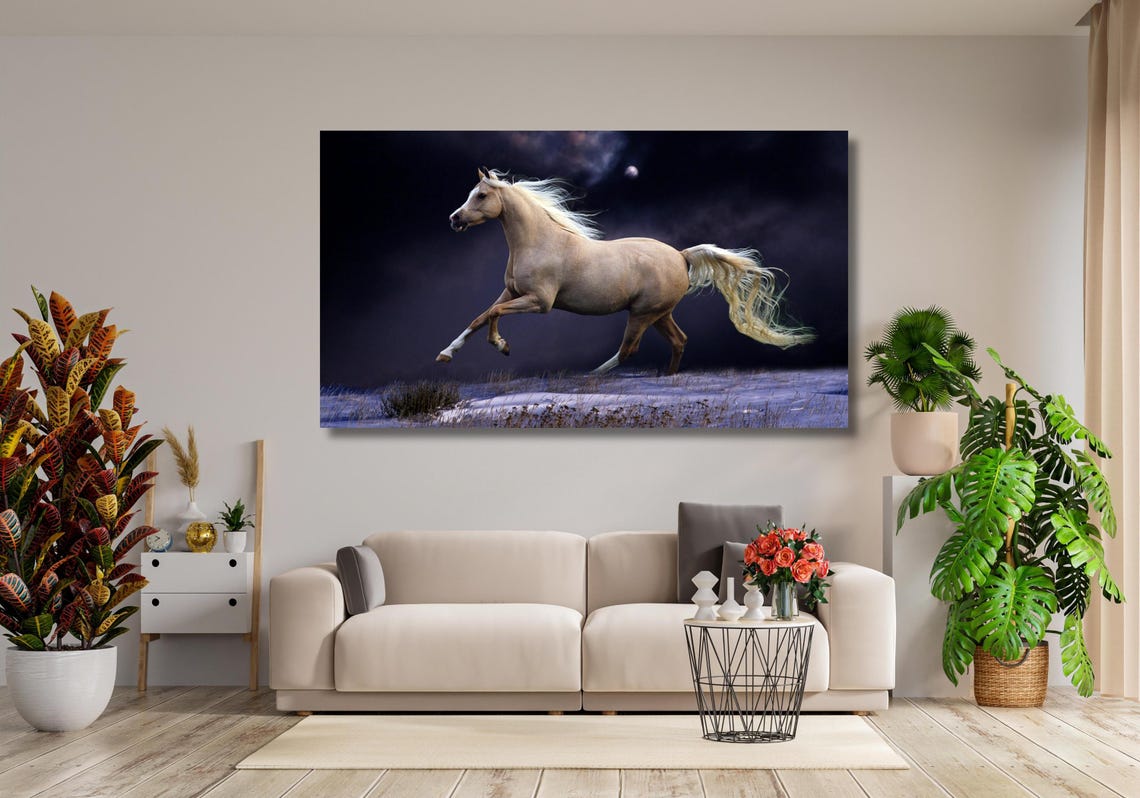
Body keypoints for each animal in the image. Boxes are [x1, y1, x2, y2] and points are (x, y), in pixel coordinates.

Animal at [437, 168, 814, 375]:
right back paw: (667, 378)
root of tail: (681, 256)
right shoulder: (512, 292)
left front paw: (502, 346)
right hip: (660, 313)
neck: (539, 242)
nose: (454, 219)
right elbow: (480, 316)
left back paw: (589, 376)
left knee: (629, 350)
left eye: (481, 195)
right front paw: (445, 354)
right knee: (679, 340)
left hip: (643, 313)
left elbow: (493, 315)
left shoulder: (539, 302)